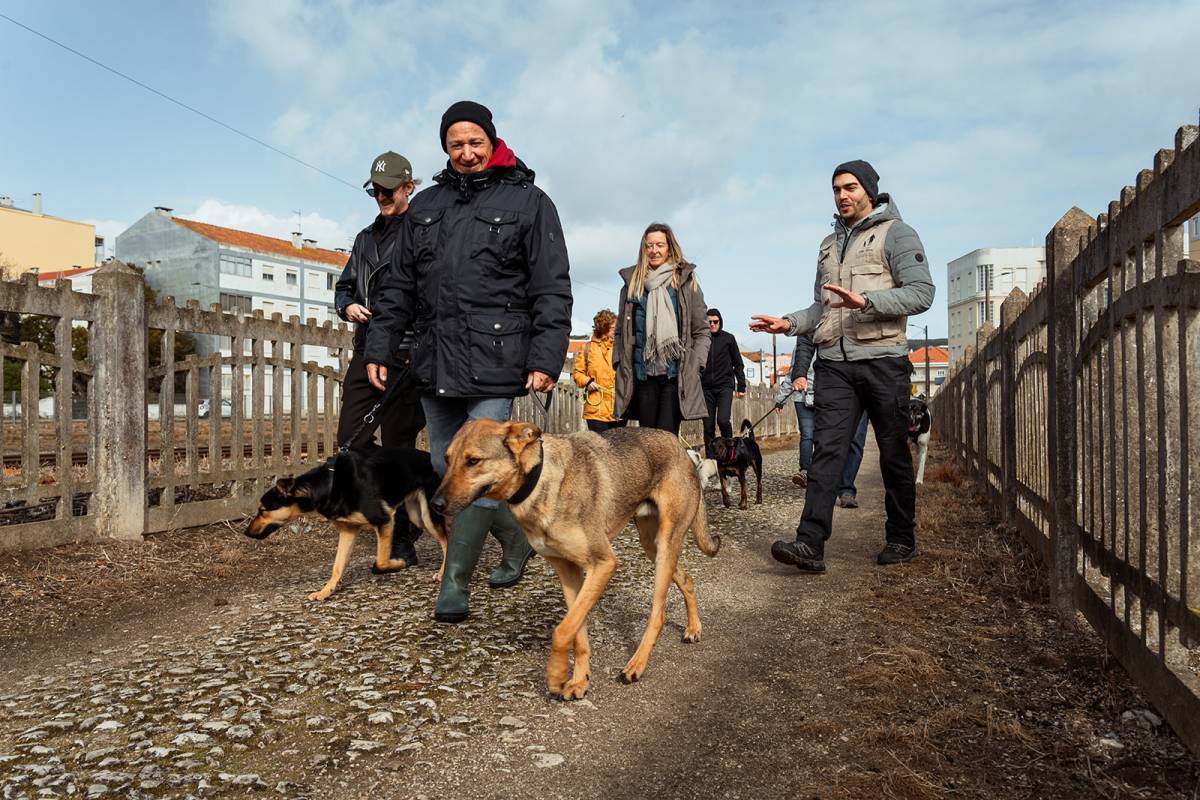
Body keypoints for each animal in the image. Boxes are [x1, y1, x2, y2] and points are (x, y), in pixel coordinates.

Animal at [429, 419, 715, 700]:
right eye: (446, 459)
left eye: (473, 461)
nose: (435, 504)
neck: (539, 480)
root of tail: (681, 448)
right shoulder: (568, 571)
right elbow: (577, 633)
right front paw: (579, 680)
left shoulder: (603, 564)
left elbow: (562, 631)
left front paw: (556, 676)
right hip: (651, 546)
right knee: (687, 579)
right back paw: (693, 628)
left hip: (666, 543)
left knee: (658, 613)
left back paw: (636, 664)